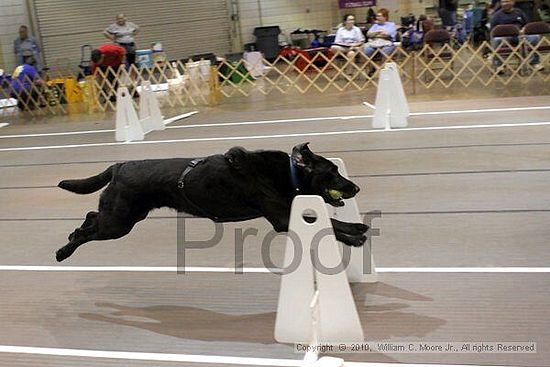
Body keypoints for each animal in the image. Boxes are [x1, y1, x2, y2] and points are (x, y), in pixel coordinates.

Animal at [56, 143, 368, 262]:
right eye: (332, 172)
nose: (356, 187)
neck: (287, 173)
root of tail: (118, 166)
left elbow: (332, 221)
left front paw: (356, 228)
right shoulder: (281, 218)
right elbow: (330, 224)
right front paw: (354, 237)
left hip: (125, 217)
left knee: (90, 216)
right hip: (119, 223)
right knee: (86, 230)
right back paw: (63, 251)